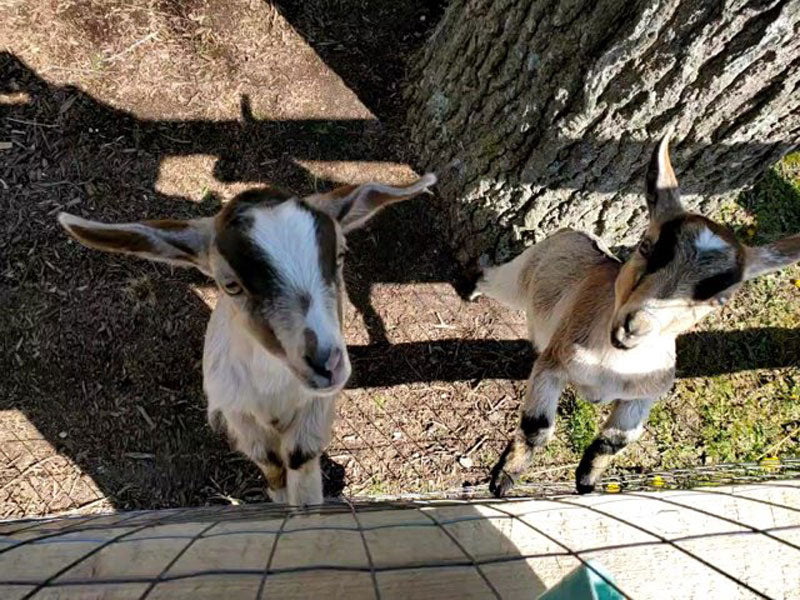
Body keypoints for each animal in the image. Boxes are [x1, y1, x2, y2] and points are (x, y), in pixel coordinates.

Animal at [58, 174, 436, 506]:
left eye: (340, 255)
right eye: (230, 285)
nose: (327, 364)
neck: (274, 390)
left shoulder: (315, 409)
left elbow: (300, 460)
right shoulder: (238, 414)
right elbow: (271, 463)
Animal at [465, 133, 800, 496]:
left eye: (720, 299)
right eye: (646, 247)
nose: (635, 327)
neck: (610, 364)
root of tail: (580, 233)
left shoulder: (644, 396)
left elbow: (613, 442)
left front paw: (587, 484)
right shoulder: (554, 365)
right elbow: (536, 426)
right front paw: (503, 481)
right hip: (522, 274)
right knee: (494, 278)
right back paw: (470, 288)